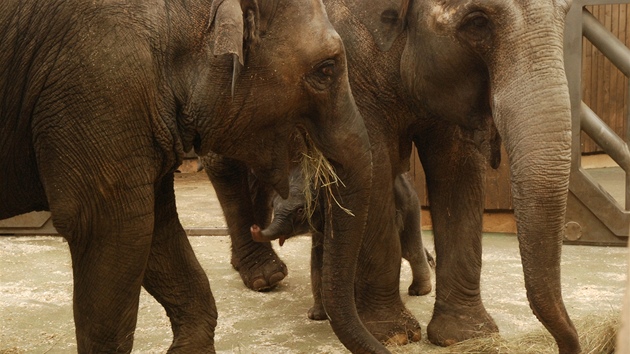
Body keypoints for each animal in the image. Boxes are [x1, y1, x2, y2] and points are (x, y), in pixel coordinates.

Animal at [252, 169, 434, 320]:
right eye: (273, 205)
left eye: (300, 210)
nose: (254, 227)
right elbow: (318, 262)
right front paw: (316, 316)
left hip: (409, 207)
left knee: (410, 250)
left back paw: (419, 291)